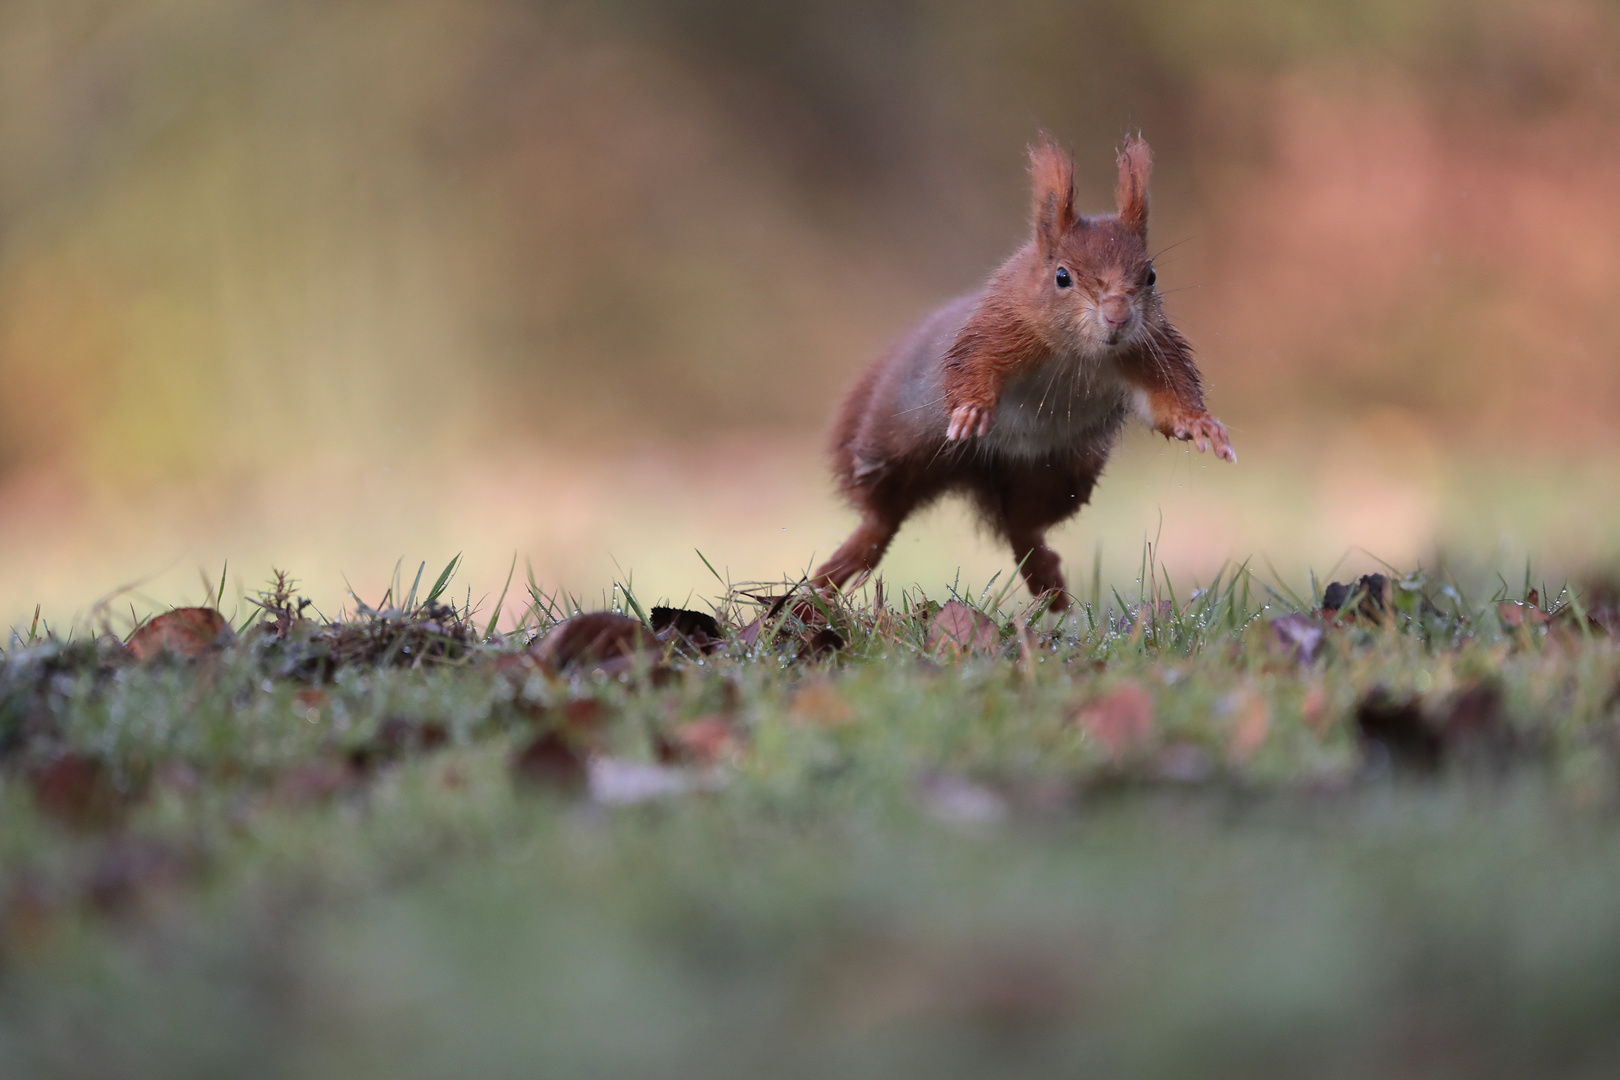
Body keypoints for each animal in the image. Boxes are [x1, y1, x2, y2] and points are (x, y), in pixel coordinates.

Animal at [816, 134, 1231, 608]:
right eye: (1062, 276)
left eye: (1151, 275)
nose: (1117, 317)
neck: (1079, 354)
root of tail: (971, 470)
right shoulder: (999, 330)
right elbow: (972, 365)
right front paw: (973, 409)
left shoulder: (1150, 352)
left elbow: (1166, 403)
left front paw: (1200, 424)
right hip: (894, 444)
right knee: (882, 515)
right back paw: (828, 577)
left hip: (1055, 474)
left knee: (1022, 526)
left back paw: (1047, 582)